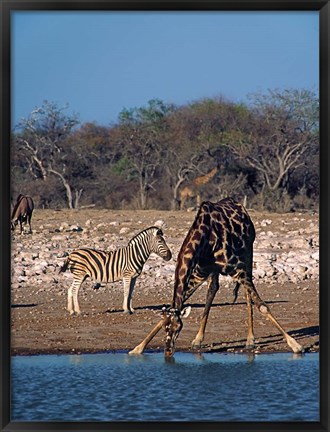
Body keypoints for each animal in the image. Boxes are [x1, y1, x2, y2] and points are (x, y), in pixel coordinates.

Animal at [129, 197, 304, 356]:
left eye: (179, 327)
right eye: (165, 328)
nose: (168, 351)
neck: (204, 238)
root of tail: (240, 206)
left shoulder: (237, 269)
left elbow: (262, 306)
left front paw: (295, 345)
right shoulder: (199, 273)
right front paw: (137, 348)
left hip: (248, 254)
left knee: (247, 295)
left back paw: (250, 339)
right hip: (213, 271)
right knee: (212, 290)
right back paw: (198, 339)